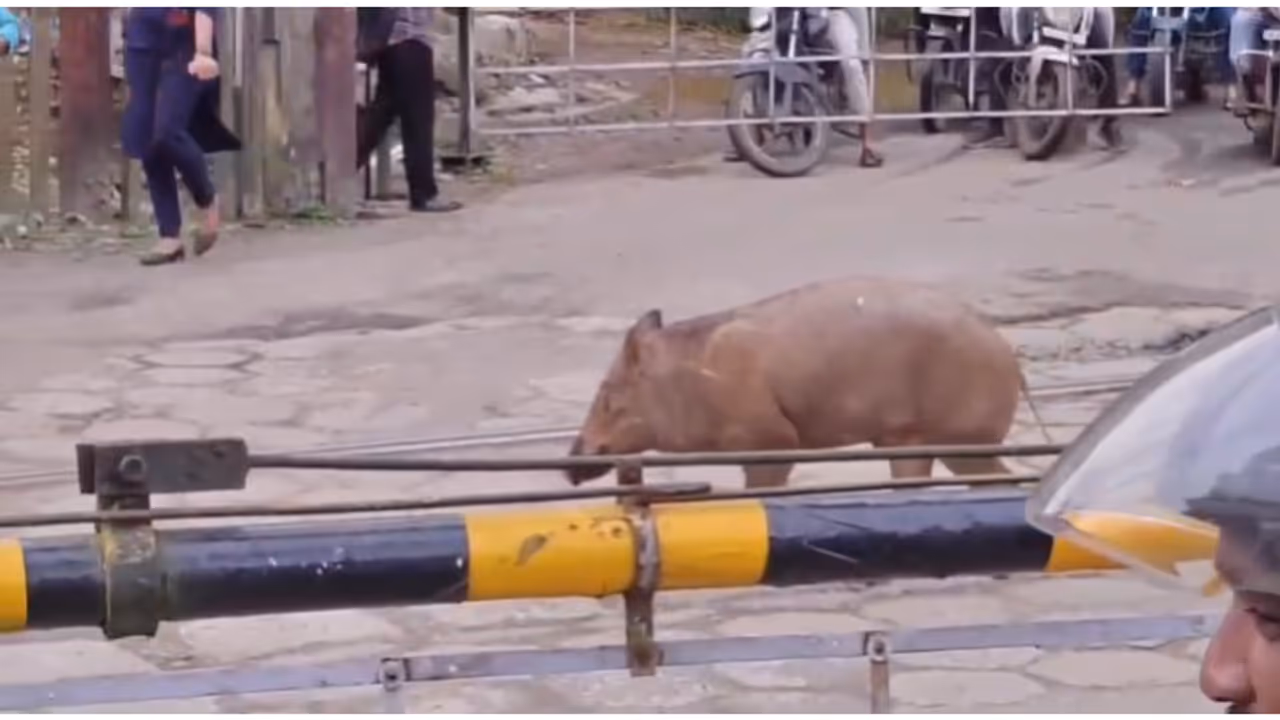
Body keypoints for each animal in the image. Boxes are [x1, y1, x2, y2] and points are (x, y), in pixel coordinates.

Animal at [565, 277, 1043, 489]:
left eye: (607, 394)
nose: (571, 459)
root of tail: (1011, 359)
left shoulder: (772, 441)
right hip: (912, 441)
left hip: (962, 438)